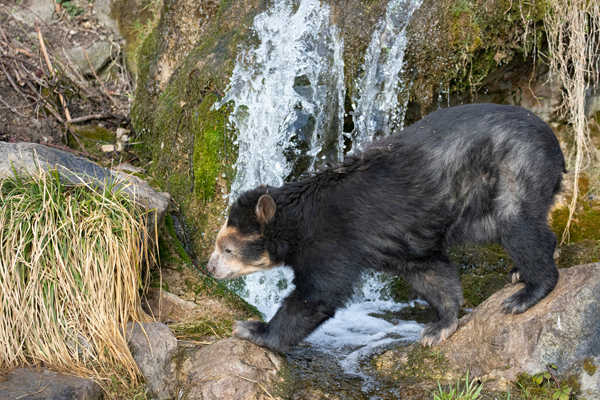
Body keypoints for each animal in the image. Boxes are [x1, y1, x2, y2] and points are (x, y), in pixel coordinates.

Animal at [209, 102, 564, 350]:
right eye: (218, 243)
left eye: (226, 249)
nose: (210, 268)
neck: (299, 221)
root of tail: (552, 138)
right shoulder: (400, 241)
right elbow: (430, 271)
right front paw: (439, 325)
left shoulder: (331, 241)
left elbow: (317, 294)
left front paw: (252, 329)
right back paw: (520, 271)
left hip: (515, 168)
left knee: (519, 226)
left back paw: (526, 292)